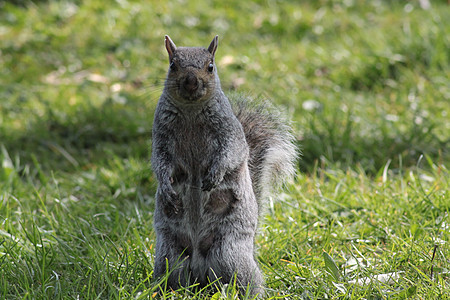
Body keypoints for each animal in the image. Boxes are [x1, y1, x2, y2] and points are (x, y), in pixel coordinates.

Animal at [152, 34, 298, 296]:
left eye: (211, 66)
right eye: (172, 66)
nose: (191, 82)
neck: (191, 110)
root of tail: (199, 270)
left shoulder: (229, 134)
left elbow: (230, 154)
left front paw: (214, 176)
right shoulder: (161, 137)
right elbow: (160, 163)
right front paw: (167, 189)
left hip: (229, 253)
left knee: (243, 280)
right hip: (171, 255)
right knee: (174, 277)